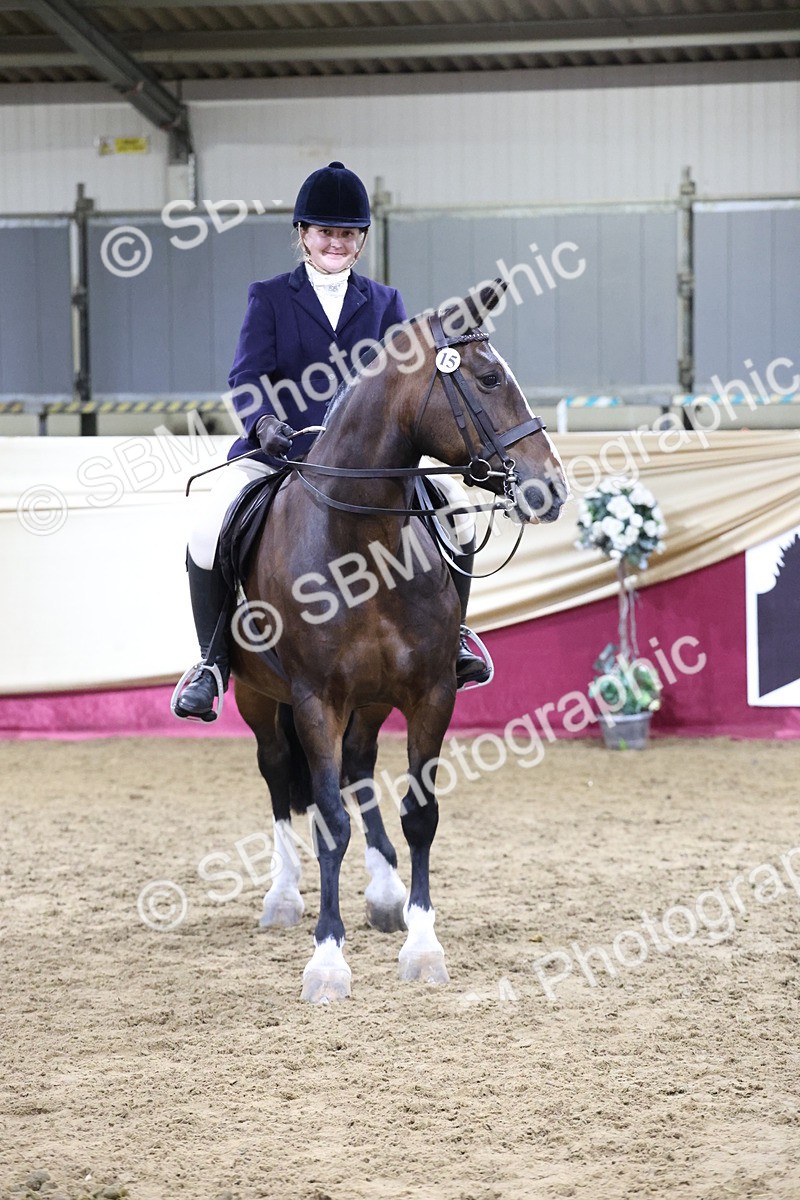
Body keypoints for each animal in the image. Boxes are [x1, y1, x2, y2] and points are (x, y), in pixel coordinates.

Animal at [228, 281, 567, 1003]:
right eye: (489, 379)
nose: (549, 487)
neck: (364, 547)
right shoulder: (316, 701)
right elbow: (327, 820)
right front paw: (327, 959)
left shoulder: (429, 692)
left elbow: (419, 814)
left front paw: (422, 944)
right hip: (257, 697)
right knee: (278, 775)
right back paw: (283, 895)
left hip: (373, 699)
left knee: (358, 770)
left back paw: (383, 893)